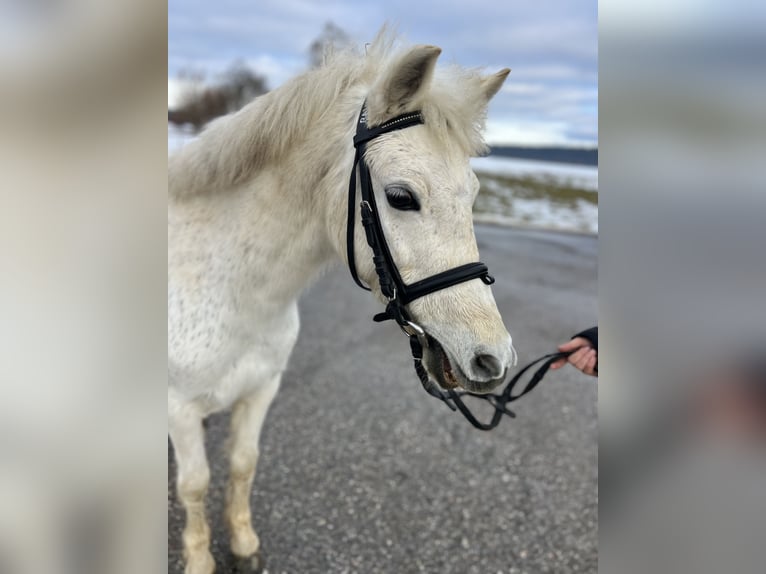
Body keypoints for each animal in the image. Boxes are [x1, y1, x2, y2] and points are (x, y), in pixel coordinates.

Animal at [168, 30, 513, 574]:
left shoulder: (260, 390)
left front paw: (243, 542)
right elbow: (194, 485)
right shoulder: (178, 407)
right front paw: (201, 558)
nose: (492, 359)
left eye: (474, 194)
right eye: (400, 197)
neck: (231, 290)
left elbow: (243, 464)